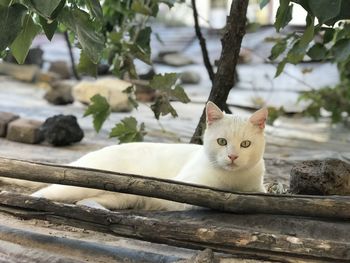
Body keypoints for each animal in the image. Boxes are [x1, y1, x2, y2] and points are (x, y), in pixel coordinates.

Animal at [32, 102, 268, 211]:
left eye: (245, 144)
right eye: (222, 142)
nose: (233, 157)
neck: (232, 181)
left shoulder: (258, 189)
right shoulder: (185, 191)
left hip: (121, 197)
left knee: (84, 202)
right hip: (75, 186)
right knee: (44, 192)